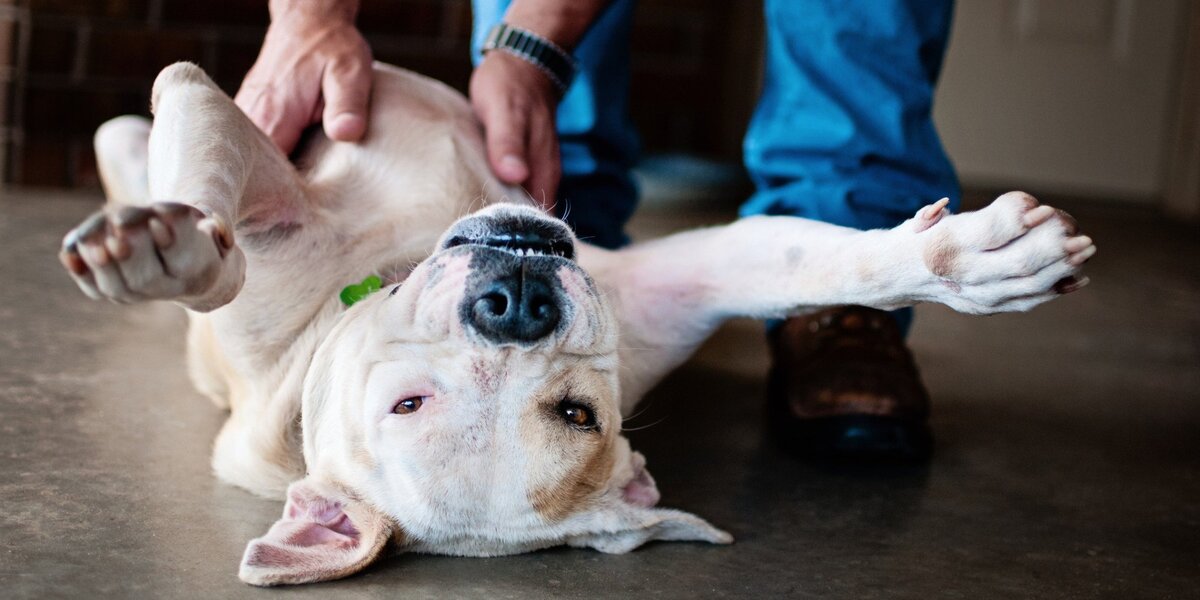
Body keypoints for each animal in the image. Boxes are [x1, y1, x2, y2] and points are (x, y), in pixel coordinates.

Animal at [60, 62, 1099, 585]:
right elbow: (217, 219)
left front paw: (971, 261)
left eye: (577, 415)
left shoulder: (676, 287)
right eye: (407, 405)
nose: (516, 305)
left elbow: (822, 263)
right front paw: (166, 248)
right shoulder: (210, 116)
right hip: (128, 133)